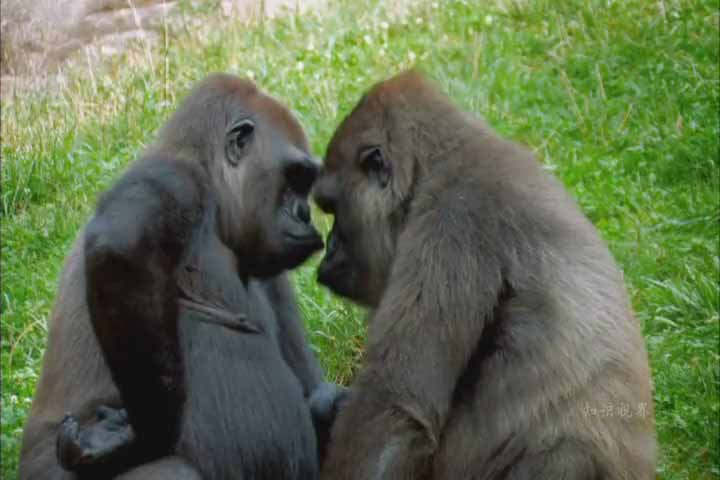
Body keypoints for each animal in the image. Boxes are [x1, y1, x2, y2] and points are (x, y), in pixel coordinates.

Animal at [19, 73, 346, 480]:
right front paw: (138, 437)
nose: (304, 215)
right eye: (296, 177)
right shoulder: (175, 181)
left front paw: (331, 404)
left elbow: (314, 391)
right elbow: (119, 247)